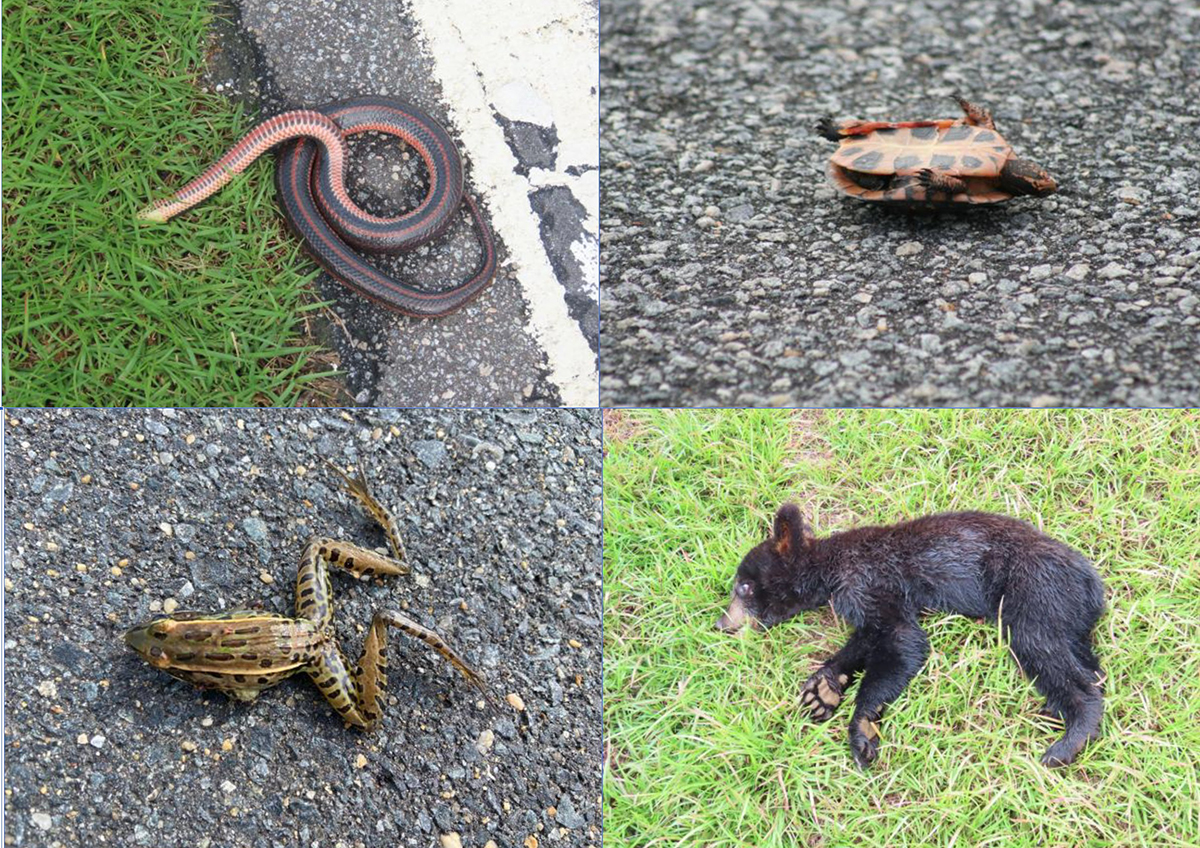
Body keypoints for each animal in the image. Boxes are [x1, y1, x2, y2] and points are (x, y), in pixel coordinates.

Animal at [715, 504, 1105, 769]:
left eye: (743, 587)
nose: (722, 623)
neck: (830, 566)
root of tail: (1091, 582)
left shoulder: (868, 580)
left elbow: (903, 640)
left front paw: (861, 731)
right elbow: (868, 638)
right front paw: (822, 689)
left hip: (1034, 589)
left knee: (1042, 648)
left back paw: (1067, 742)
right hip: (1065, 611)